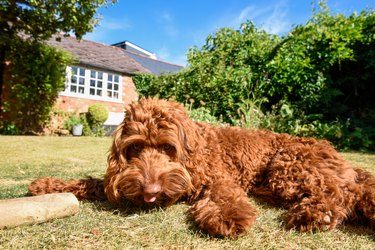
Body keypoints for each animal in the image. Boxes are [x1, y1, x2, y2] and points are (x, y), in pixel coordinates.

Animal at [28, 97, 375, 236]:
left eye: (168, 148)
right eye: (135, 148)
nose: (150, 189)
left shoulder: (217, 176)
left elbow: (223, 194)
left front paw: (227, 216)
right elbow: (93, 183)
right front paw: (47, 185)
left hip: (288, 166)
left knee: (340, 191)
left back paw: (316, 214)